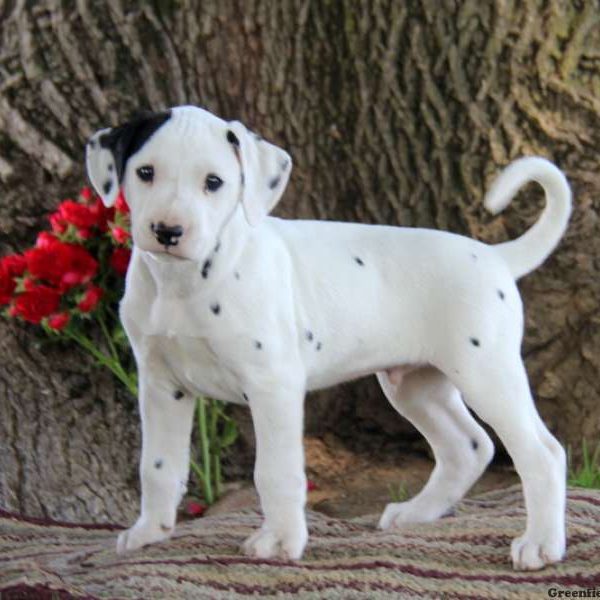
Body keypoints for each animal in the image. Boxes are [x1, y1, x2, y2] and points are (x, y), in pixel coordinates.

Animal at [85, 105, 572, 568]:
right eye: (146, 172)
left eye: (214, 182)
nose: (168, 232)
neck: (184, 284)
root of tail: (494, 255)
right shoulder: (161, 387)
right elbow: (158, 466)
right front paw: (149, 533)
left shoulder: (272, 385)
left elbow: (276, 471)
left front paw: (281, 541)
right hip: (417, 386)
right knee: (468, 447)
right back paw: (416, 513)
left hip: (486, 374)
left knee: (542, 454)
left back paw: (541, 544)